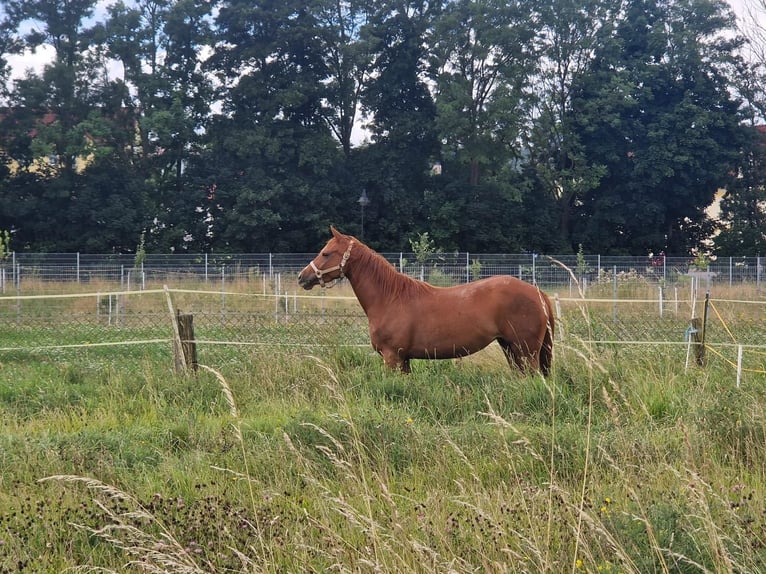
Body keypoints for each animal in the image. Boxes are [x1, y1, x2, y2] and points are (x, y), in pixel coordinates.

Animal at [298, 227, 554, 376]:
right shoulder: (404, 360)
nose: (302, 277)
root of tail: (538, 293)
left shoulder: (392, 357)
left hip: (526, 352)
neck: (389, 298)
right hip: (510, 348)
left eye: (326, 253)